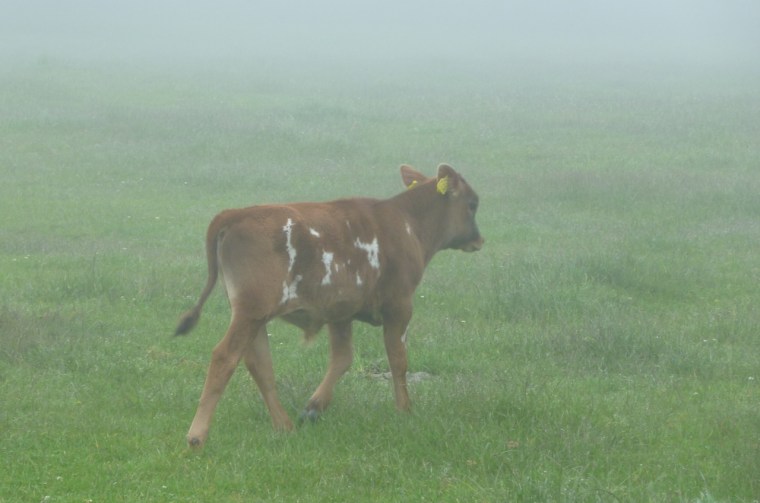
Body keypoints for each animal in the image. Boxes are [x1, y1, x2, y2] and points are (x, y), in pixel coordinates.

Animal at [175, 163, 483, 447]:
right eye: (472, 204)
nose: (479, 240)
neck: (407, 223)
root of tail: (235, 213)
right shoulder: (400, 306)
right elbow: (398, 360)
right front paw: (405, 409)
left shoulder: (340, 311)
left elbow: (342, 358)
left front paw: (314, 406)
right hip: (251, 311)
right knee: (224, 357)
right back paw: (197, 435)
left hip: (253, 315)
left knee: (259, 364)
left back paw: (284, 425)